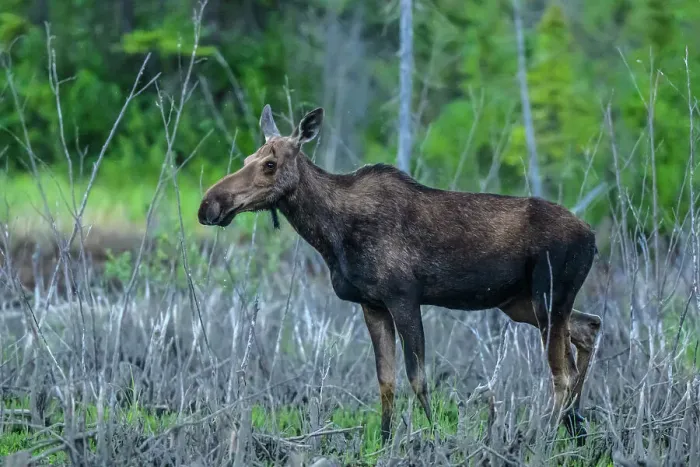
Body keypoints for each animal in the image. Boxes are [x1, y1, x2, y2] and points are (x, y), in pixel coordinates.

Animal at [198, 104, 602, 446]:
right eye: (247, 159)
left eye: (269, 163)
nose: (208, 205)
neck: (331, 235)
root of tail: (593, 238)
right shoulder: (372, 304)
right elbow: (386, 379)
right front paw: (385, 439)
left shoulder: (404, 297)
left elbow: (417, 378)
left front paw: (434, 437)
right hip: (522, 303)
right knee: (589, 328)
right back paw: (576, 431)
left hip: (548, 296)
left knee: (562, 373)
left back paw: (543, 437)